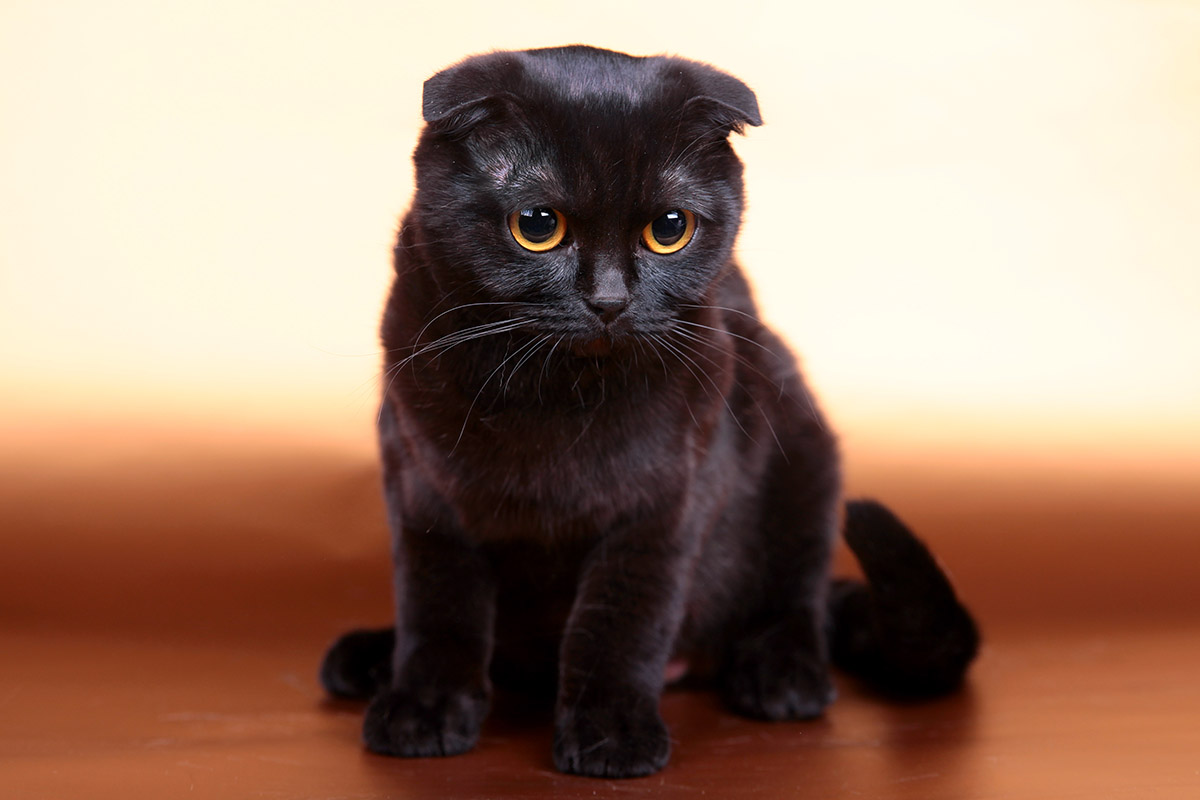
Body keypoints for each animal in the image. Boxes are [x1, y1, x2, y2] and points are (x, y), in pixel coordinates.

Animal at [319, 45, 974, 782]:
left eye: (669, 229)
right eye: (537, 226)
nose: (609, 300)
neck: (554, 399)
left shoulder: (665, 501)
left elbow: (621, 619)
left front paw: (611, 733)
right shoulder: (421, 489)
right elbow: (438, 607)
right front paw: (423, 710)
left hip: (801, 443)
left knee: (798, 593)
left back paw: (780, 675)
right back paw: (368, 660)